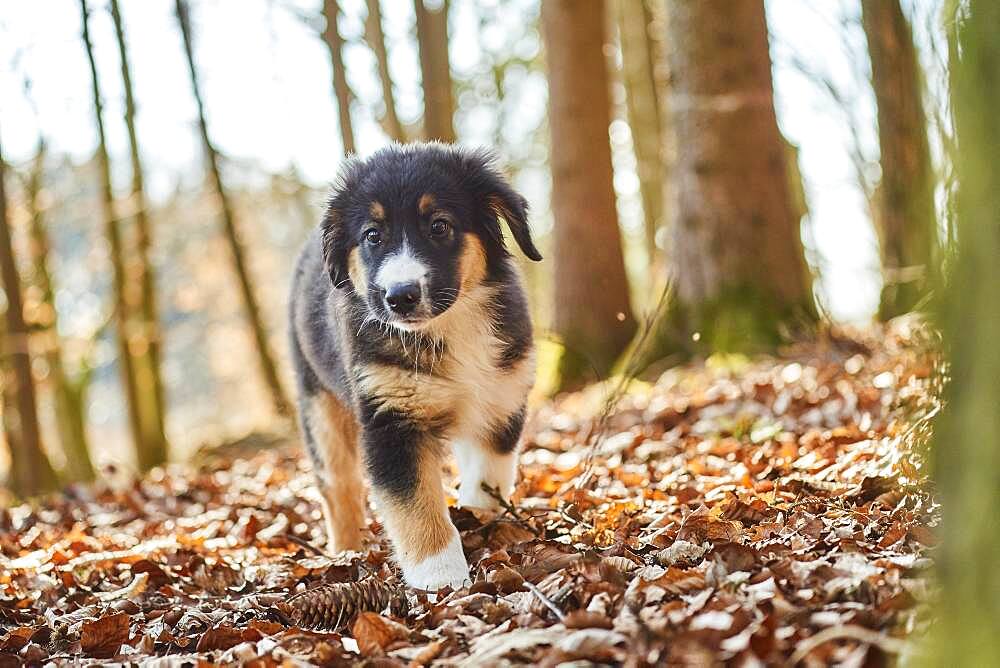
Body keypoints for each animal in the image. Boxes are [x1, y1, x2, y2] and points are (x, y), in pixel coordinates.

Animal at [286, 142, 544, 588]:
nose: (400, 297)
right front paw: (440, 575)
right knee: (339, 487)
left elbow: (488, 474)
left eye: (439, 226)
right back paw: (346, 552)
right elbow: (414, 504)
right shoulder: (390, 419)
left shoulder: (500, 397)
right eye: (373, 236)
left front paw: (479, 517)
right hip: (319, 405)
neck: (448, 327)